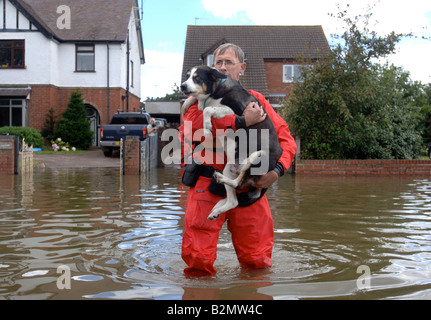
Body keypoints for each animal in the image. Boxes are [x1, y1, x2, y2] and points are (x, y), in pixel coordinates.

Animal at [180, 65, 284, 220]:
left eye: (197, 78)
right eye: (187, 76)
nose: (182, 86)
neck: (216, 90)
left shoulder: (235, 111)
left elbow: (207, 109)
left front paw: (207, 128)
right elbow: (199, 103)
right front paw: (186, 104)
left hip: (258, 157)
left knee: (238, 184)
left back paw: (219, 179)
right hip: (229, 168)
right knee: (234, 201)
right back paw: (217, 210)